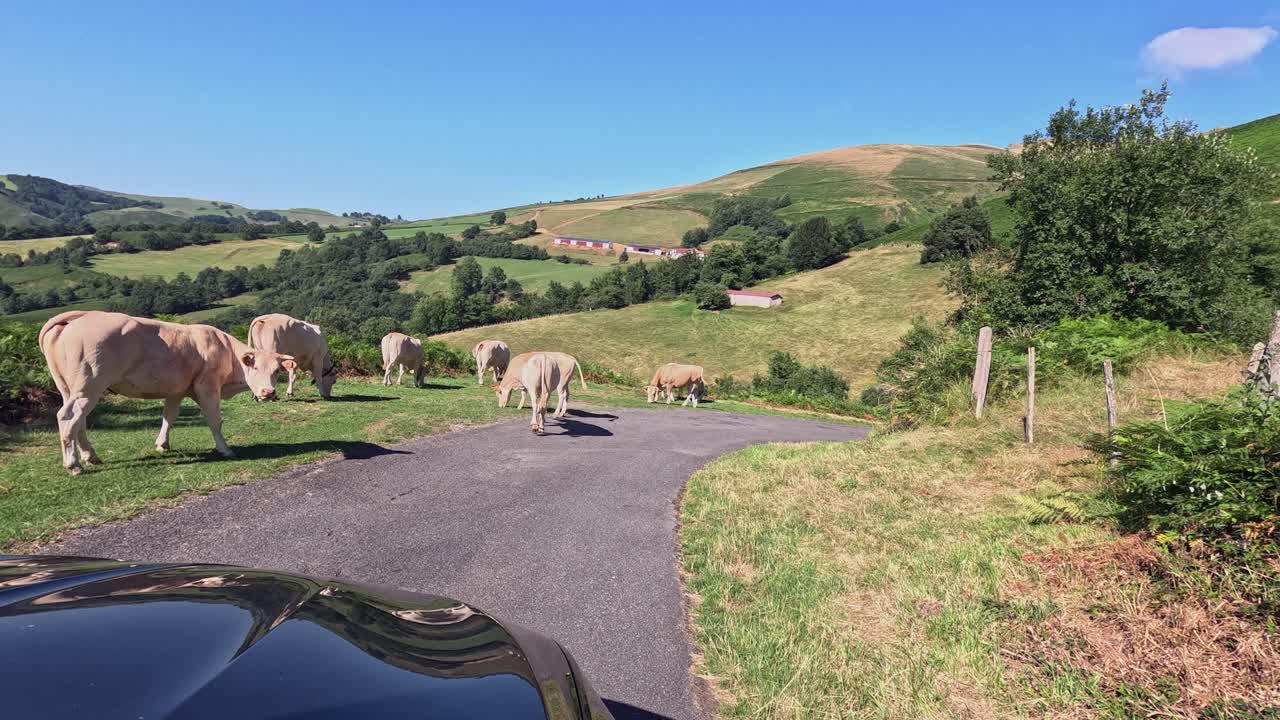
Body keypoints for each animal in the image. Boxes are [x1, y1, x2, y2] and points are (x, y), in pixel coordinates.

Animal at [39, 311, 298, 475]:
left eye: (276, 371)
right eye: (255, 367)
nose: (268, 392)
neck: (227, 353)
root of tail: (77, 317)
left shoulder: (176, 390)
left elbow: (169, 417)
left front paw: (162, 444)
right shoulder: (207, 386)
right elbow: (215, 420)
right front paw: (225, 449)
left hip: (71, 388)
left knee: (79, 422)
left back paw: (90, 457)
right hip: (89, 386)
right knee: (68, 418)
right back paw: (73, 465)